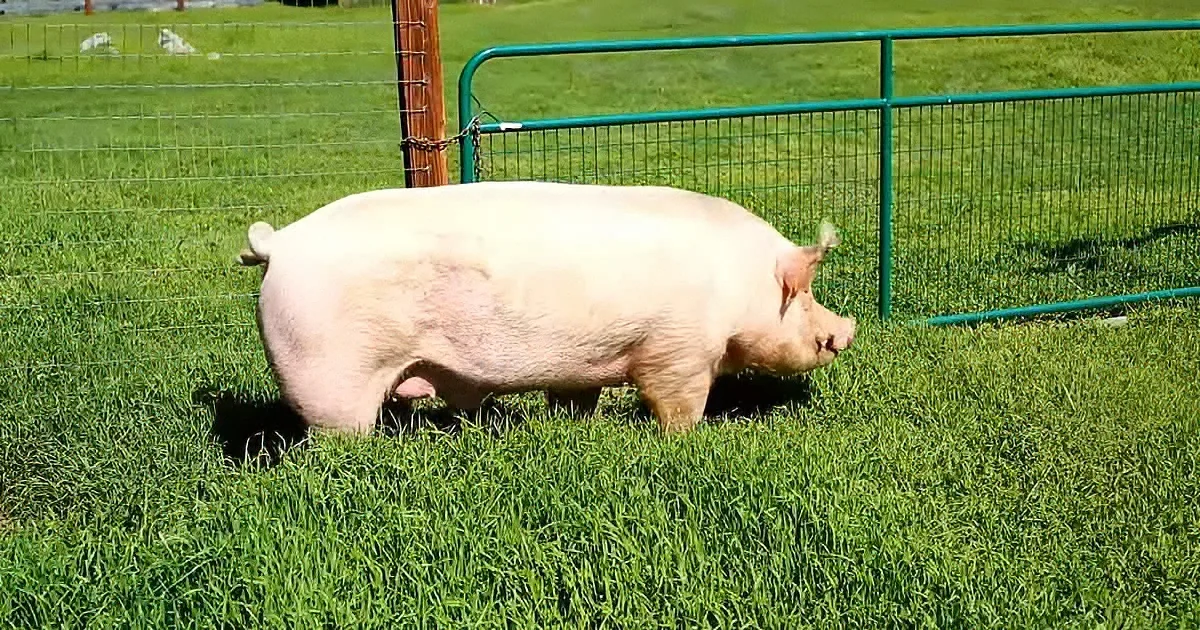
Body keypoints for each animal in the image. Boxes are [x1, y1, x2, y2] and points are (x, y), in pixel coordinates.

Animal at [237, 181, 855, 435]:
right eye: (803, 294)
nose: (846, 331)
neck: (737, 284)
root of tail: (281, 244)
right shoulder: (677, 350)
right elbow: (679, 405)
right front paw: (687, 441)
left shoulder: (587, 365)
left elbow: (578, 399)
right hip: (328, 375)